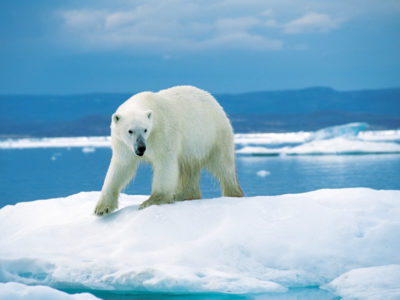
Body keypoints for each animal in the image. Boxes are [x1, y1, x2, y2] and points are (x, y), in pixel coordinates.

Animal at [94, 85, 244, 214]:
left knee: (223, 165)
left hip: (213, 135)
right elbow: (121, 167)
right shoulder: (123, 144)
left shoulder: (163, 132)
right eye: (130, 131)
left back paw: (233, 193)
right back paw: (184, 195)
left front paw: (151, 201)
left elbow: (164, 164)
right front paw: (102, 208)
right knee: (188, 168)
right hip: (192, 147)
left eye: (145, 129)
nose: (141, 148)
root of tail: (216, 104)